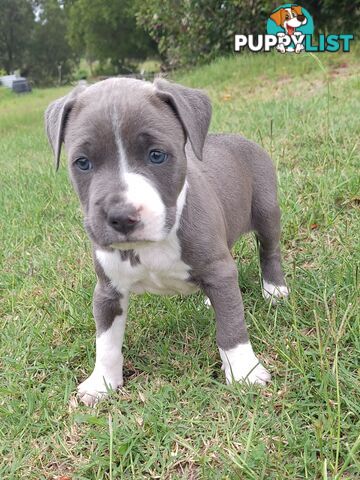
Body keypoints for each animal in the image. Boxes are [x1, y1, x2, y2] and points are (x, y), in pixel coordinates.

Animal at [45, 78, 288, 404]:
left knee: (269, 249)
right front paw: (102, 382)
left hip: (266, 209)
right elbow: (105, 342)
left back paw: (274, 289)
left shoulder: (219, 269)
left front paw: (243, 372)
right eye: (82, 163)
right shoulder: (108, 291)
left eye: (157, 155)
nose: (121, 216)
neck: (151, 246)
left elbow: (231, 327)